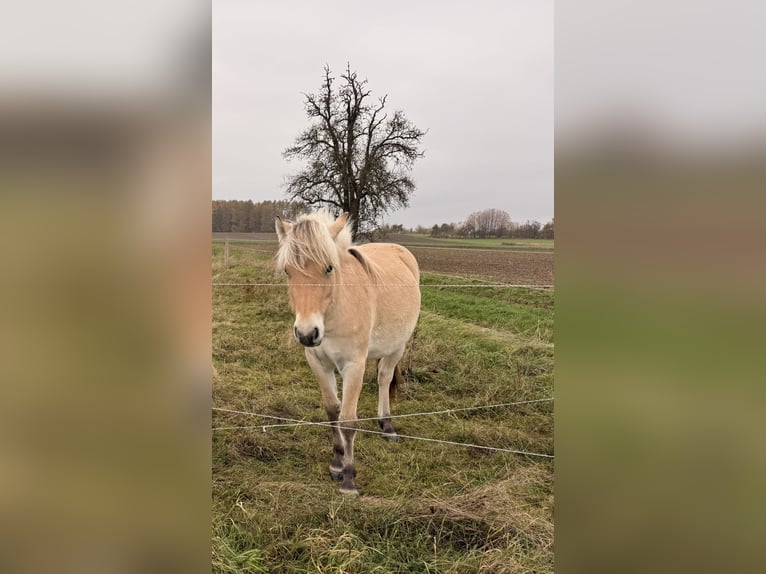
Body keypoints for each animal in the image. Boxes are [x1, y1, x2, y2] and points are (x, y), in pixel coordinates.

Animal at [275, 210, 421, 496]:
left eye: (329, 268)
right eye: (288, 271)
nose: (307, 333)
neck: (334, 313)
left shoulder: (354, 365)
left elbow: (348, 420)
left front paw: (349, 479)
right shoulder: (318, 363)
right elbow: (333, 412)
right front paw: (337, 463)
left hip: (397, 347)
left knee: (384, 378)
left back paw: (387, 425)